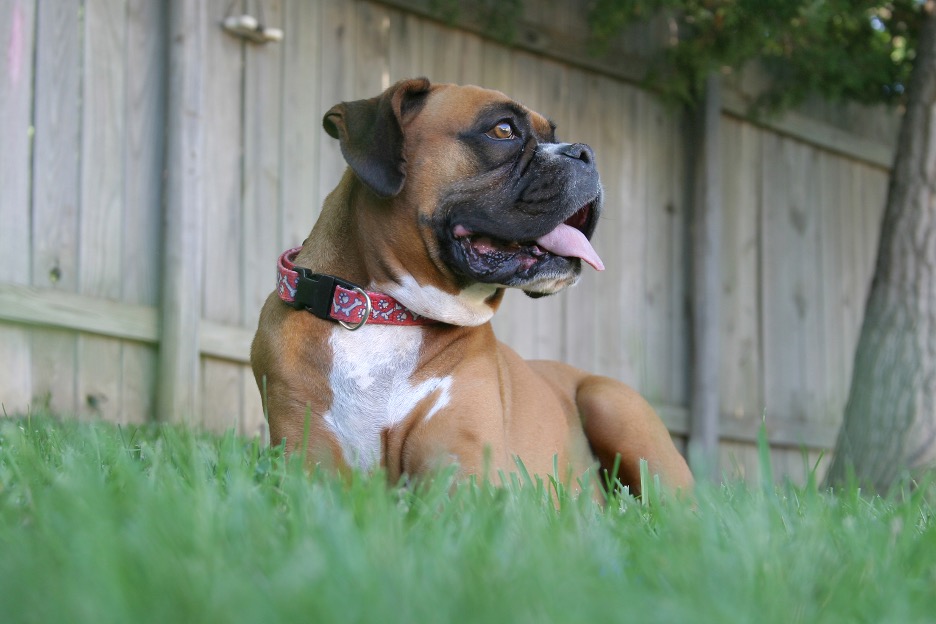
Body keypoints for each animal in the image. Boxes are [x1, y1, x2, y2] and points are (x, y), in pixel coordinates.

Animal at [252, 79, 692, 498]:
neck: (383, 314)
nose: (584, 152)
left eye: (554, 134)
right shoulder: (308, 467)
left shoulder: (468, 482)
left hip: (612, 405)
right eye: (503, 130)